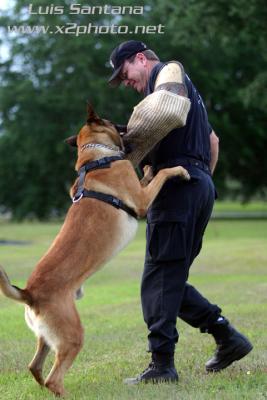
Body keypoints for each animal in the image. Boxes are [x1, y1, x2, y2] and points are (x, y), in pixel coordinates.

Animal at [0, 104, 189, 396]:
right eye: (110, 120)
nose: (127, 122)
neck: (96, 158)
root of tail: (29, 294)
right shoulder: (142, 201)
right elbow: (162, 174)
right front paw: (178, 170)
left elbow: (149, 175)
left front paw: (147, 167)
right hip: (73, 335)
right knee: (54, 377)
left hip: (47, 337)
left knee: (35, 367)